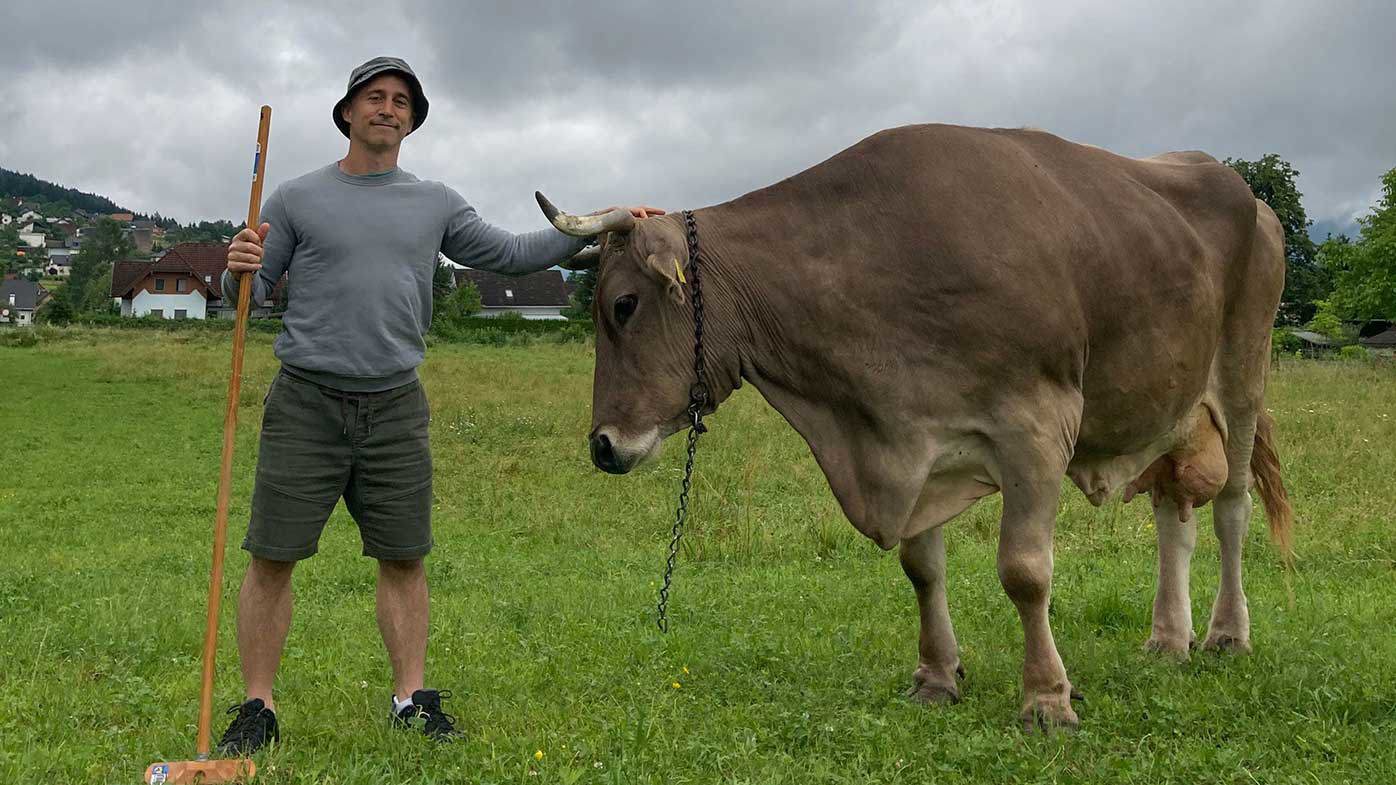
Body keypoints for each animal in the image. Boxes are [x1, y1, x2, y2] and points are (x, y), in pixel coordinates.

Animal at [538, 123, 1293, 731]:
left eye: (624, 304)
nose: (603, 445)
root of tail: (1248, 193)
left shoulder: (1037, 426)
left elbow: (1025, 572)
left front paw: (1047, 698)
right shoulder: (911, 437)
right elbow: (922, 568)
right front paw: (936, 677)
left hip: (1242, 377)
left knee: (1231, 510)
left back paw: (1227, 633)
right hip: (1172, 406)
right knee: (1175, 515)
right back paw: (1168, 638)